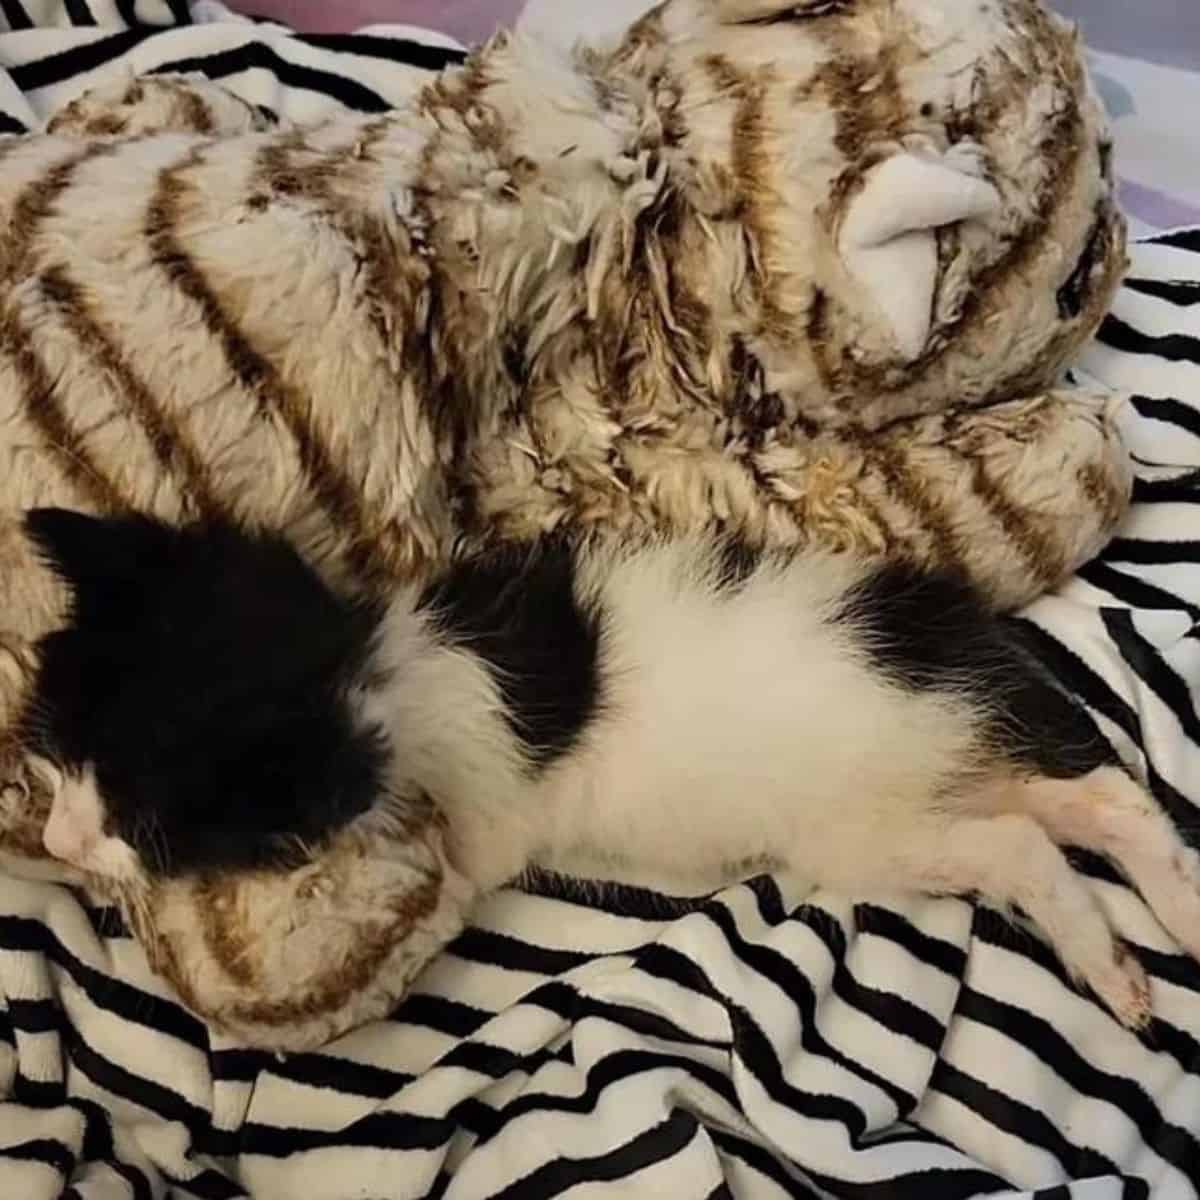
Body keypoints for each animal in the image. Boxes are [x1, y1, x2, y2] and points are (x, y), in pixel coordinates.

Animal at [21, 508, 1200, 1032]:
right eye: (58, 753)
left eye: (148, 829)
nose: (55, 840)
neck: (367, 660)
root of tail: (948, 633)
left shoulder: (468, 832)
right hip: (942, 765)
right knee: (1098, 801)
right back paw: (1161, 932)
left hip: (868, 825)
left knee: (1022, 845)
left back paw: (1111, 962)